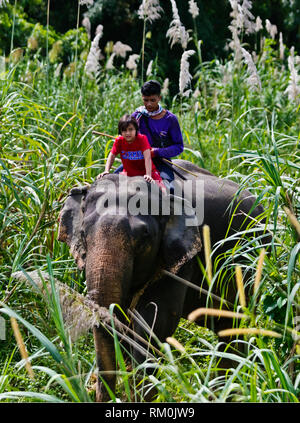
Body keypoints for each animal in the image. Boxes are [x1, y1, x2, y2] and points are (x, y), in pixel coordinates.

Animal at [58, 161, 270, 402]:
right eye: (83, 234)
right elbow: (123, 322)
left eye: (144, 237)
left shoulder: (184, 257)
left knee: (235, 325)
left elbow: (154, 322)